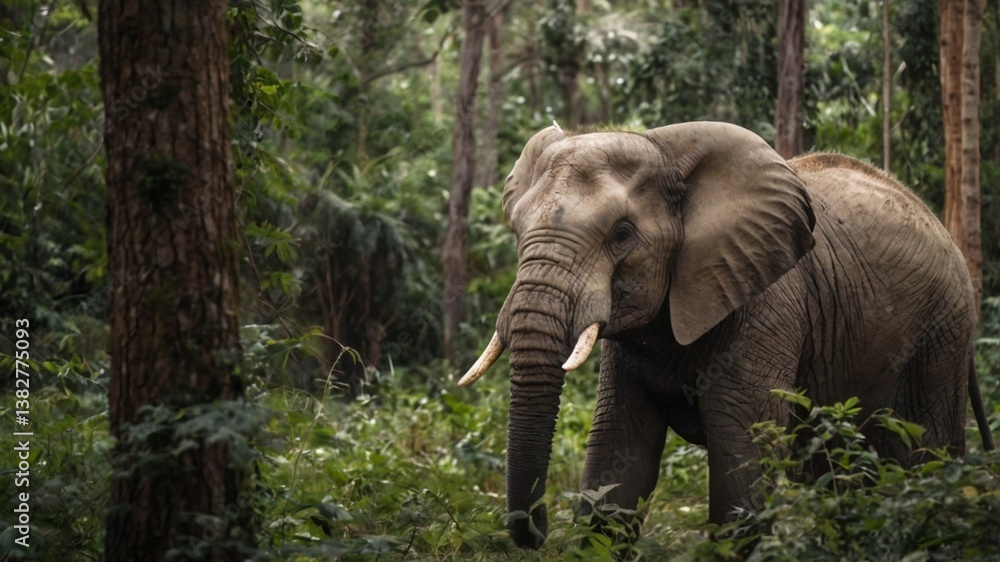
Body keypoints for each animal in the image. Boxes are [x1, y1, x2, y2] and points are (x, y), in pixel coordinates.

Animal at [458, 121, 995, 549]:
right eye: (517, 228)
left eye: (622, 234)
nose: (536, 533)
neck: (663, 149)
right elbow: (618, 468)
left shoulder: (767, 299)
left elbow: (742, 476)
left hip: (942, 331)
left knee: (925, 459)